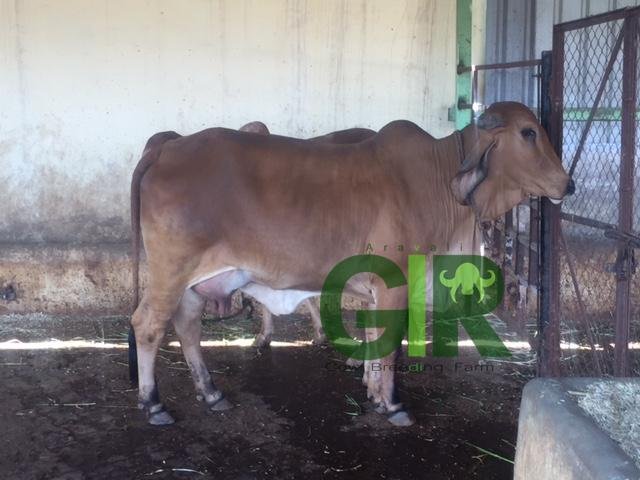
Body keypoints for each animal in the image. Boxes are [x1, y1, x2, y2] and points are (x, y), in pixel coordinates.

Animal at [129, 102, 574, 427]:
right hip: (172, 270)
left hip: (194, 282)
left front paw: (374, 392)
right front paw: (392, 405)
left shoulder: (377, 288)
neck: (438, 179)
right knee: (148, 325)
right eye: (528, 132)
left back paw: (210, 392)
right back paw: (154, 404)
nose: (567, 184)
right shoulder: (395, 282)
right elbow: (390, 343)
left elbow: (375, 336)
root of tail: (167, 145)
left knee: (187, 327)